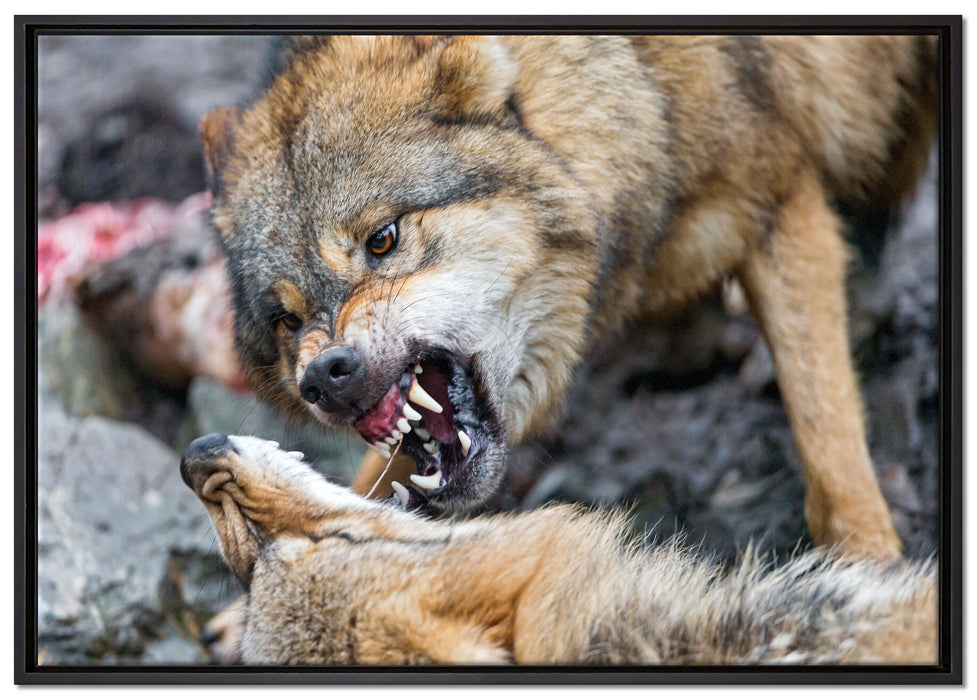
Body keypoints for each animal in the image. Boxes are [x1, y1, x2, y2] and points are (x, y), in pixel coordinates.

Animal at [199, 35, 937, 560]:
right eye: (287, 320)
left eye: (382, 239)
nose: (325, 375)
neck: (639, 88)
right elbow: (375, 481)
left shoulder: (781, 198)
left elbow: (824, 422)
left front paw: (868, 562)